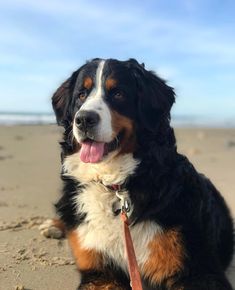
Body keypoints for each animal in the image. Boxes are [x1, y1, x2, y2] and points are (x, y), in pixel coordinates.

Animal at [40, 57, 233, 288]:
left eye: (118, 93)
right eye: (81, 95)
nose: (84, 119)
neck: (115, 186)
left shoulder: (197, 271)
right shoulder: (99, 272)